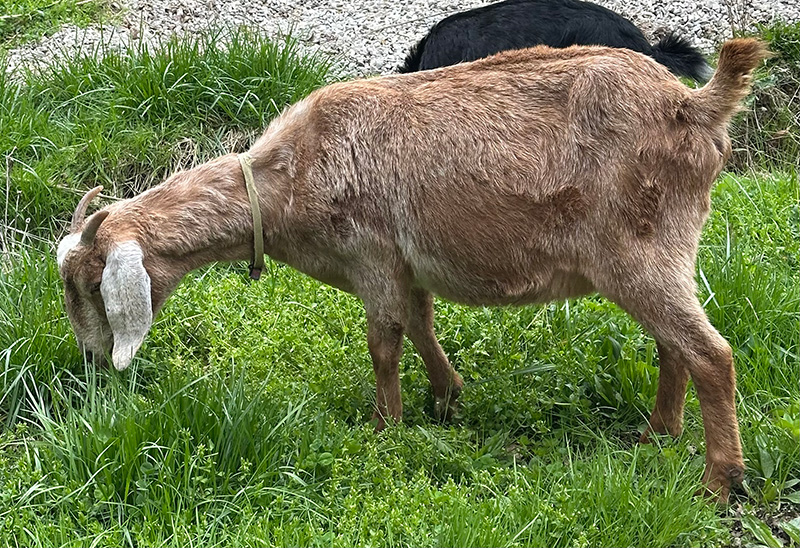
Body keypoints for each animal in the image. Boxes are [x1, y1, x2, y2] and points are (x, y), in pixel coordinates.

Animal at [57, 39, 768, 502]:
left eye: (92, 285)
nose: (91, 362)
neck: (285, 179)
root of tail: (695, 106)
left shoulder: (371, 256)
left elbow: (384, 344)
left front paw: (385, 429)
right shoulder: (407, 262)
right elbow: (423, 326)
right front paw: (448, 397)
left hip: (640, 249)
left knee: (711, 353)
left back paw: (719, 480)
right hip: (664, 252)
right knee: (674, 345)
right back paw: (657, 435)